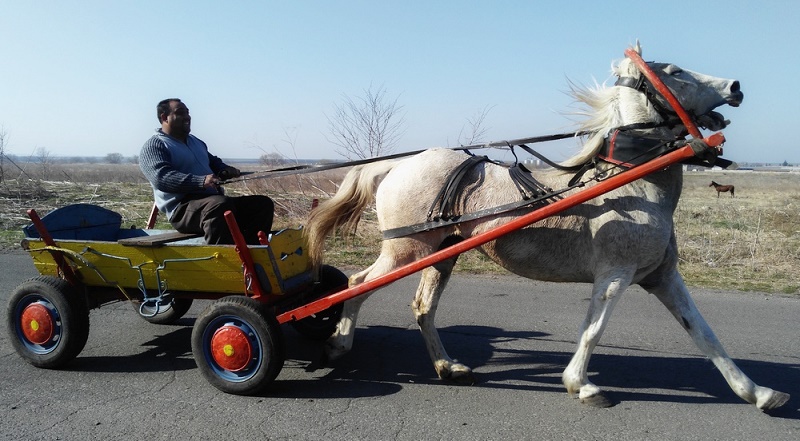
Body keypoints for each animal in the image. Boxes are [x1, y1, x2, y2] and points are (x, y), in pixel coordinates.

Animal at [304, 43, 788, 410]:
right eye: (674, 70)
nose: (735, 87)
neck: (629, 182)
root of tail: (399, 164)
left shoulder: (662, 277)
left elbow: (705, 335)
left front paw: (758, 393)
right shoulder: (615, 275)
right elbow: (593, 329)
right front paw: (582, 385)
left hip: (441, 254)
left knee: (423, 308)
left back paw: (447, 367)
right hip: (406, 250)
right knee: (357, 285)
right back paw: (338, 344)